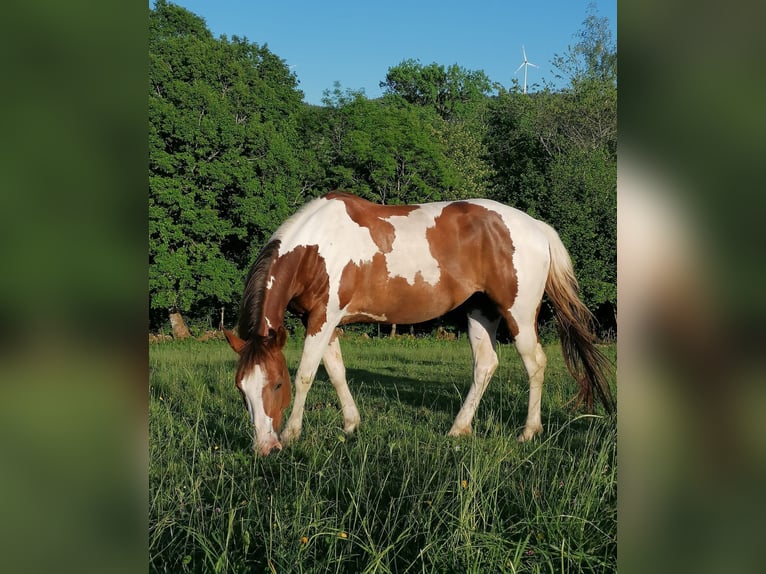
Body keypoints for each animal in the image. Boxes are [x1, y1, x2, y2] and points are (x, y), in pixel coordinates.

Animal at [224, 191, 614, 455]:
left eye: (276, 384)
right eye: (241, 388)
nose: (264, 447)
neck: (314, 248)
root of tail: (536, 227)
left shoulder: (323, 319)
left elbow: (307, 374)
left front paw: (292, 434)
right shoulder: (324, 320)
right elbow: (336, 373)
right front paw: (351, 424)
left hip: (517, 314)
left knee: (535, 364)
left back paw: (528, 432)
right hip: (479, 313)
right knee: (485, 365)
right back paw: (459, 429)